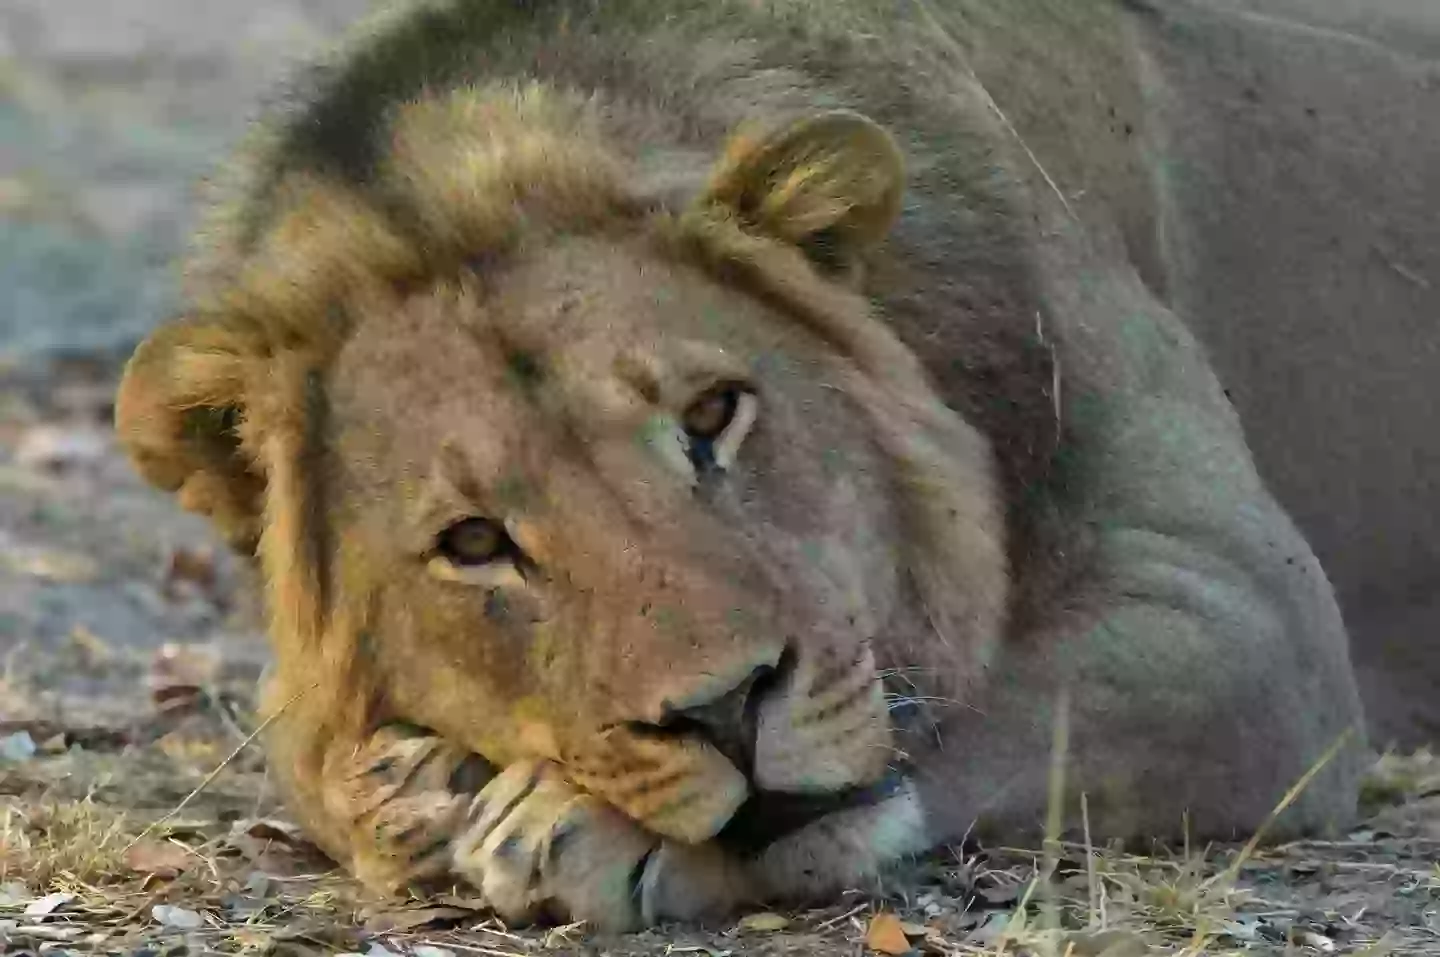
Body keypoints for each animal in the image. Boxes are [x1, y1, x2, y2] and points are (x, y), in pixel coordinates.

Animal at [115, 0, 1370, 932]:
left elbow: (982, 702)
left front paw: (563, 825)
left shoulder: (1249, 616)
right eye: (474, 542)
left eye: (713, 414)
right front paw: (402, 793)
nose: (725, 712)